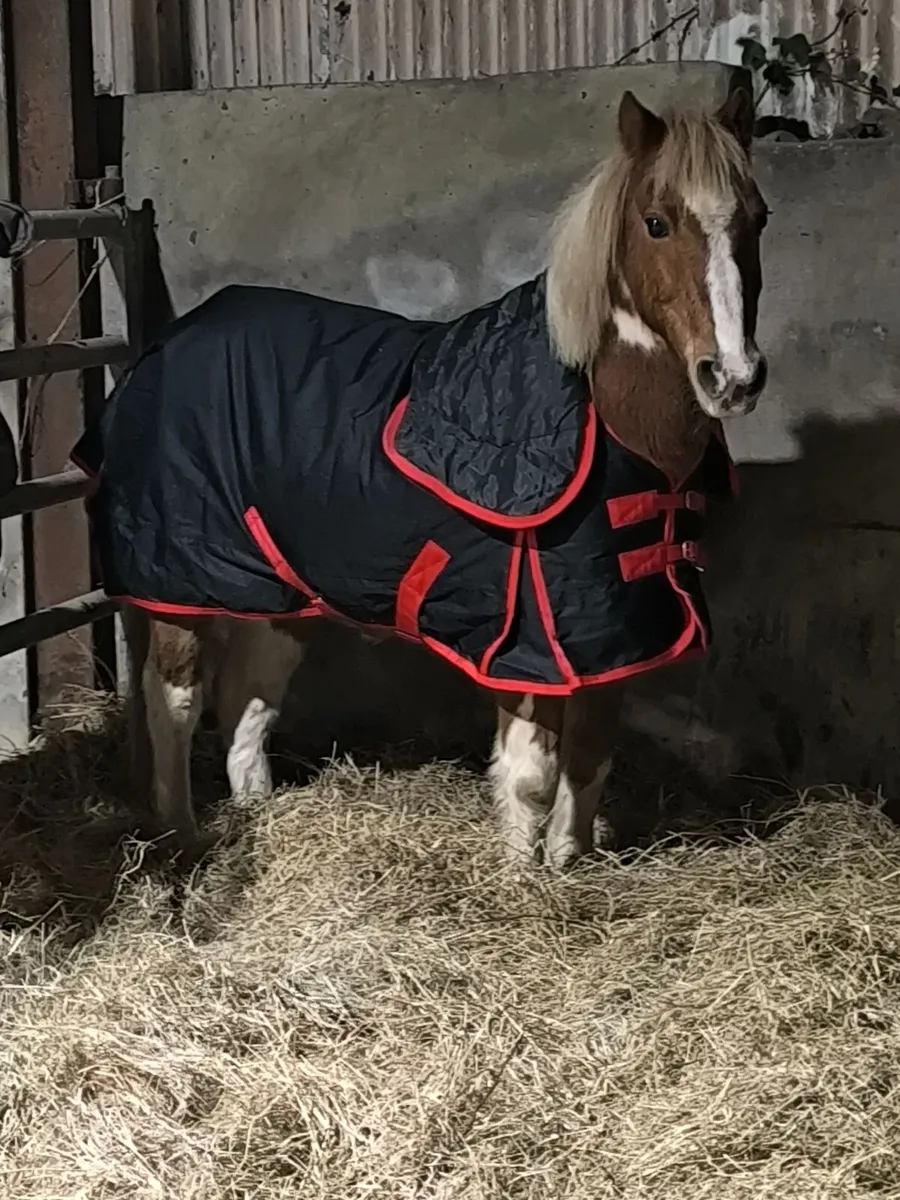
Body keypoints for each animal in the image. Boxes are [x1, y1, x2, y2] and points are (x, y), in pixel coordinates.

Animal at [73, 87, 769, 868]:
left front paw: (568, 866)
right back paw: (181, 836)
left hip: (276, 589)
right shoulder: (523, 642)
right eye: (657, 222)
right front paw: (518, 878)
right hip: (178, 584)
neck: (609, 425)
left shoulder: (604, 637)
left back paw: (257, 812)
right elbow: (531, 775)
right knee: (175, 702)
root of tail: (166, 345)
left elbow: (589, 762)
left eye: (759, 217)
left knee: (250, 696)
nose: (733, 378)